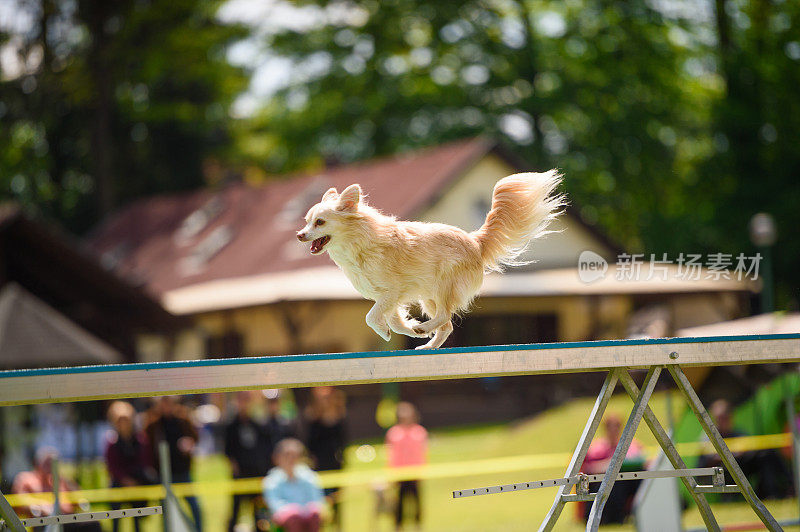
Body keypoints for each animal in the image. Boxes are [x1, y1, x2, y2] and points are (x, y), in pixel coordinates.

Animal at [296, 170, 564, 352]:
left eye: (319, 222)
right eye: (306, 221)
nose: (299, 234)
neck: (357, 244)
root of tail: (475, 241)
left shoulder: (390, 292)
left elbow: (371, 317)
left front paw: (391, 331)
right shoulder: (389, 298)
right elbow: (394, 321)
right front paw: (407, 330)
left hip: (443, 287)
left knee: (445, 317)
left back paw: (426, 329)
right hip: (428, 297)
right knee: (447, 326)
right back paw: (428, 345)